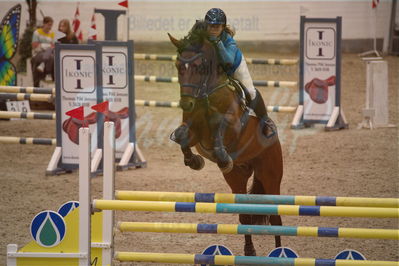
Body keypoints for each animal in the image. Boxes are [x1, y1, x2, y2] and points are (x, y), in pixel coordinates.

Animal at [169, 25, 284, 256]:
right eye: (178, 66)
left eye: (198, 66)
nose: (186, 103)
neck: (205, 94)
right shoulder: (193, 130)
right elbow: (182, 136)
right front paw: (194, 161)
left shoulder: (233, 126)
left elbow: (219, 129)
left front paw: (221, 156)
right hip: (237, 178)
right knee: (244, 214)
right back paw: (249, 251)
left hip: (271, 176)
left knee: (276, 218)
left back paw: (280, 253)